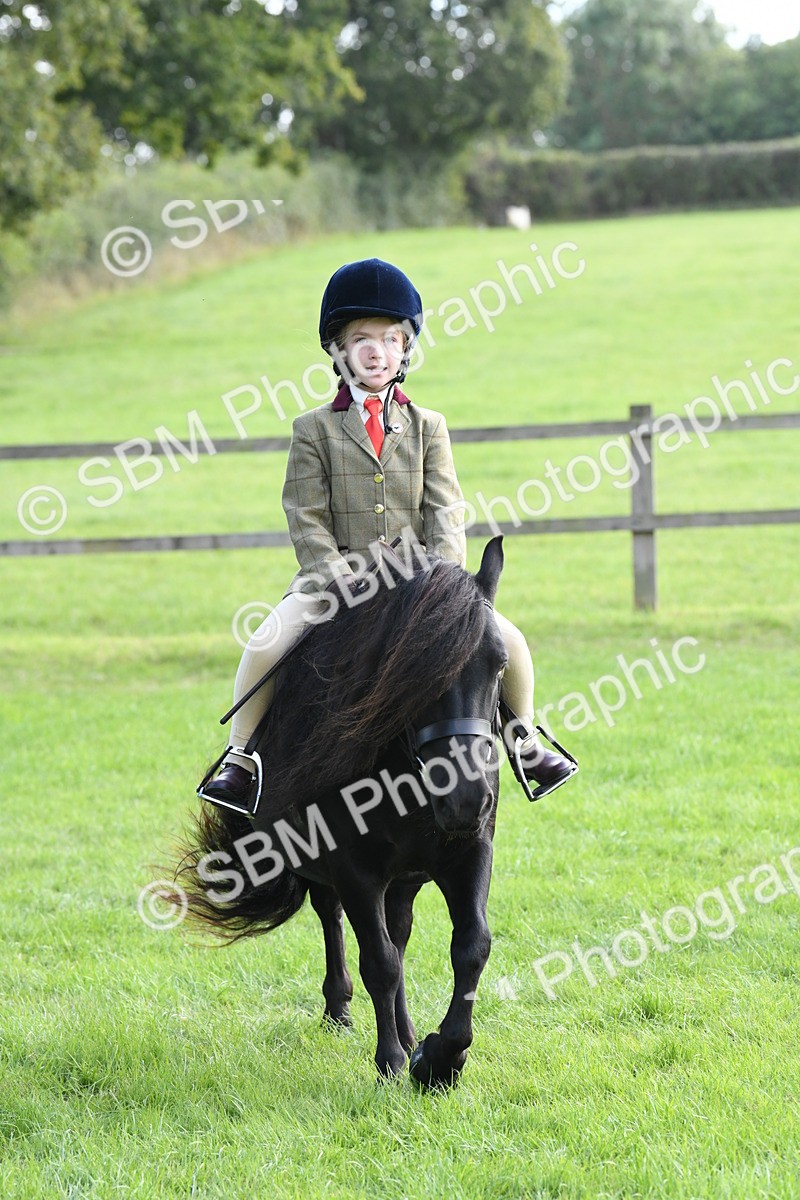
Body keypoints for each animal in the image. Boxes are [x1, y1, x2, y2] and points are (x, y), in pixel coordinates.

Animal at [173, 536, 510, 1089]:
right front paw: (393, 1064)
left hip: (406, 877)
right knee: (337, 921)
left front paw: (440, 1058)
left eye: (500, 664)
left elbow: (470, 947)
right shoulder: (353, 867)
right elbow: (380, 962)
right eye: (411, 673)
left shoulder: (468, 852)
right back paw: (342, 1011)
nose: (464, 798)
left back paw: (410, 1033)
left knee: (398, 932)